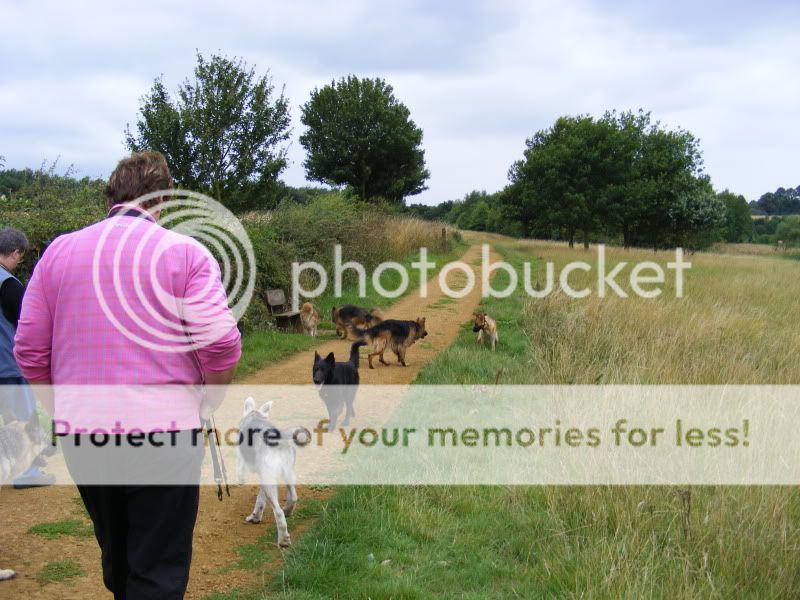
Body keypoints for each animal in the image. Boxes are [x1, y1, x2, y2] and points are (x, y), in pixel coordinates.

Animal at [238, 398, 306, 548]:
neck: (255, 414)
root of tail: (280, 441)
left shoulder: (240, 460)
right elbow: (260, 499)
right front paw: (255, 517)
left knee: (278, 512)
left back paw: (283, 540)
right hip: (287, 474)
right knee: (293, 497)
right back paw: (288, 511)